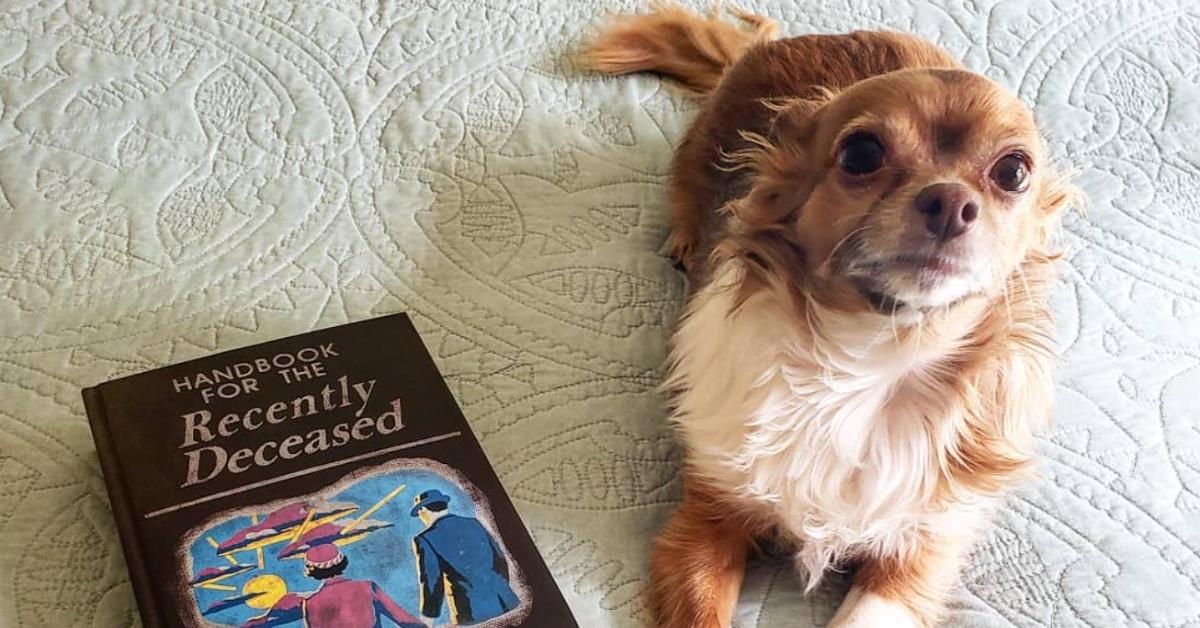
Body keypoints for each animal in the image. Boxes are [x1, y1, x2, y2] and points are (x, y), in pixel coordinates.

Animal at [580, 4, 1080, 628]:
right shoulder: (708, 516)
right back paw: (686, 238)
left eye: (1014, 172)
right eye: (861, 154)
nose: (950, 202)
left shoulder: (918, 556)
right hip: (696, 155)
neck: (867, 358)